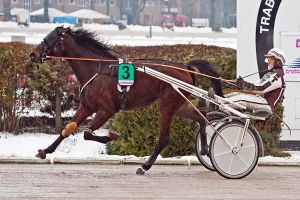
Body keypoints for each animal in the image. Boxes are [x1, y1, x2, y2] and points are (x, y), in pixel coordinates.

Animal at [29, 27, 223, 175]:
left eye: (47, 39)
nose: (32, 55)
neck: (97, 69)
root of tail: (186, 67)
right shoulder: (86, 106)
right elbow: (68, 129)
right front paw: (45, 151)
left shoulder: (106, 110)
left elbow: (87, 134)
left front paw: (111, 136)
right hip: (179, 104)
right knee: (202, 117)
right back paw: (205, 149)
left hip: (166, 105)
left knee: (164, 138)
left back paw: (145, 166)